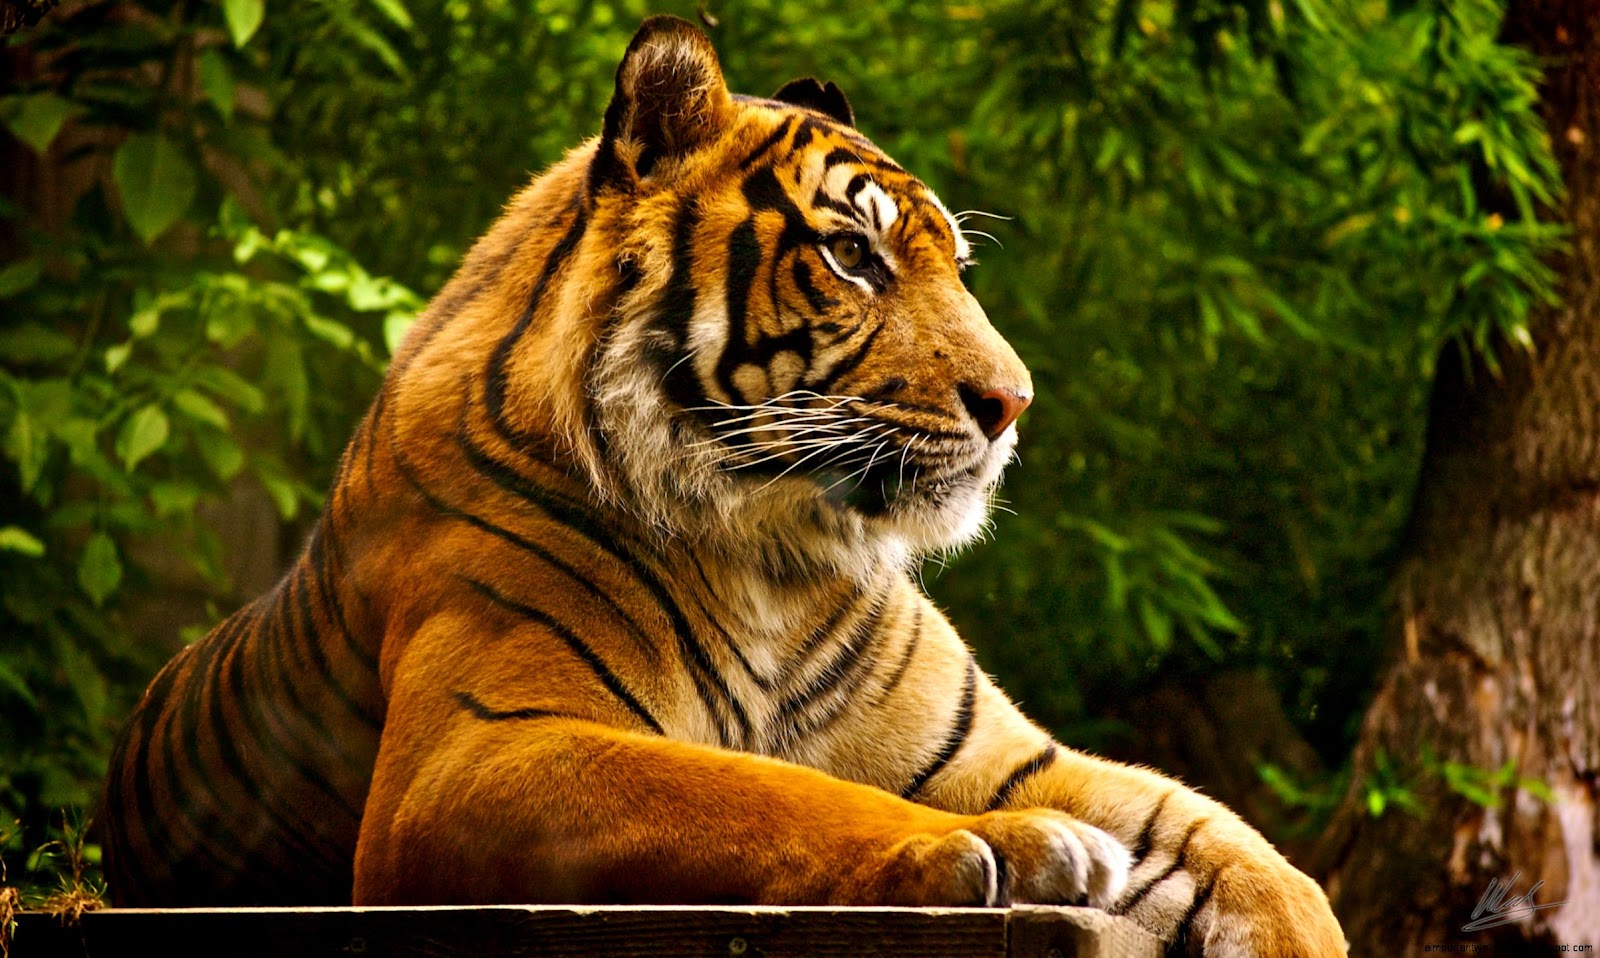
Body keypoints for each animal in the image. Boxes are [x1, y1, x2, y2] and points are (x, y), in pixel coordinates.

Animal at [100, 15, 1345, 956]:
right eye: (853, 256)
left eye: (954, 265)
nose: (1014, 402)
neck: (778, 553)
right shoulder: (473, 753)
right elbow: (759, 790)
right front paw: (1000, 849)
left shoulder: (1005, 754)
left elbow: (1234, 840)